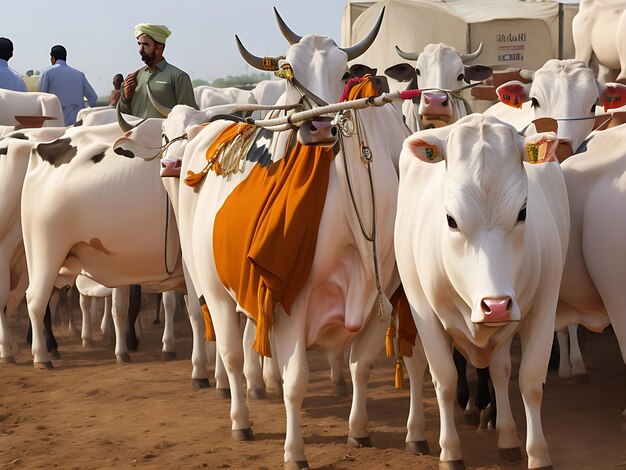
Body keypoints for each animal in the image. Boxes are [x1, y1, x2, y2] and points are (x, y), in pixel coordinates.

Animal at [398, 114, 568, 470]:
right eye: (450, 219)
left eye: (523, 212)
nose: (496, 305)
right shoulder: (423, 311)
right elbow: (444, 380)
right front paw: (450, 451)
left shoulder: (544, 306)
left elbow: (530, 381)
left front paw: (537, 453)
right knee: (416, 365)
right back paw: (416, 433)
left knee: (500, 370)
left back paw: (507, 437)